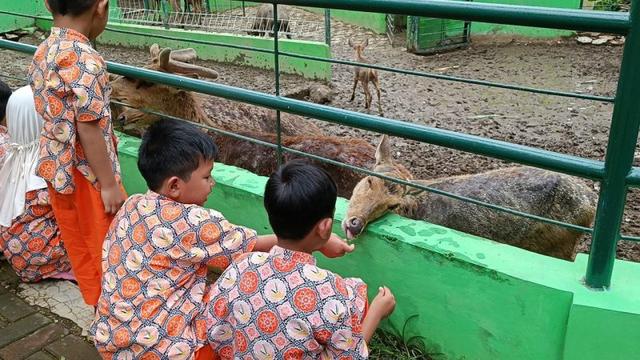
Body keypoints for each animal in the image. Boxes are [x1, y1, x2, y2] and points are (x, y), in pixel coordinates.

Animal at [342, 136, 596, 260]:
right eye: (370, 180)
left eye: (392, 205)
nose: (355, 224)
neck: (415, 209)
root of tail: (591, 202)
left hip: (560, 244)